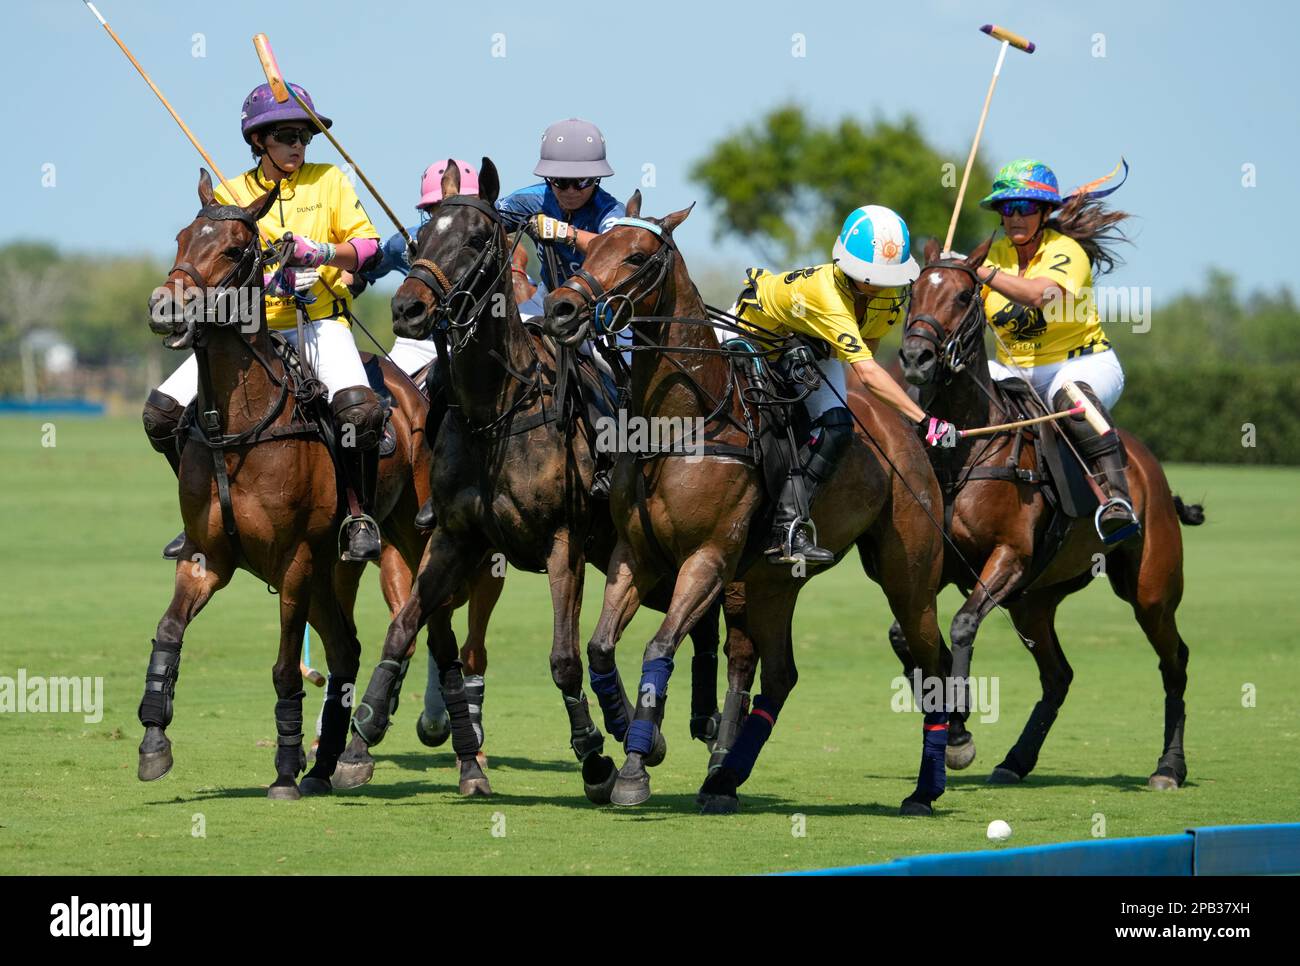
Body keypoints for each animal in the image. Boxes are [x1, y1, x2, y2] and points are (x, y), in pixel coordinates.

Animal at [139, 171, 496, 800]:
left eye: (234, 248)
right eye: (183, 237)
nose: (166, 307)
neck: (239, 426)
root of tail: (412, 389)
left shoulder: (294, 560)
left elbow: (285, 666)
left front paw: (283, 770)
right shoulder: (207, 556)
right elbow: (168, 631)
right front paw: (154, 740)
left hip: (413, 541)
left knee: (441, 644)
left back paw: (468, 768)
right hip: (334, 566)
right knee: (347, 648)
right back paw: (328, 764)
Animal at [332, 154, 733, 795]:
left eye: (477, 239)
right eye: (420, 238)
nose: (407, 309)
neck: (497, 410)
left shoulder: (561, 542)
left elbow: (564, 658)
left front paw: (595, 759)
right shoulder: (452, 538)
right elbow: (403, 627)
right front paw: (358, 742)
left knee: (697, 615)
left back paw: (686, 724)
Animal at [538, 192, 956, 811]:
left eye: (636, 256)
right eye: (590, 249)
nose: (561, 309)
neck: (680, 424)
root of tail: (903, 435)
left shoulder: (707, 559)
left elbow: (658, 649)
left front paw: (637, 764)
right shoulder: (633, 556)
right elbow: (600, 648)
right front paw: (634, 742)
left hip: (909, 579)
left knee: (934, 665)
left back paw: (926, 789)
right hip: (772, 584)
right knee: (781, 675)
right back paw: (724, 779)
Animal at [889, 237, 1201, 790]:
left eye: (965, 295)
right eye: (913, 294)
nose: (917, 358)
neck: (963, 445)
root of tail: (1151, 470)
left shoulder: (1009, 555)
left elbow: (962, 624)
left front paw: (960, 728)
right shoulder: (945, 564)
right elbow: (906, 633)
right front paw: (952, 719)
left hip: (1150, 590)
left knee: (1175, 661)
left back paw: (1169, 767)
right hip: (1033, 601)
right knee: (1059, 675)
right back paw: (1016, 760)